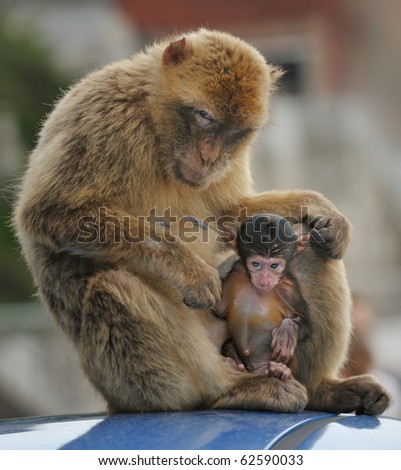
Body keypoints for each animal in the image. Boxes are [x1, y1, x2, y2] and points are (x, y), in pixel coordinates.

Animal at [216, 215, 310, 380]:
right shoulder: (237, 271)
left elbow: (305, 322)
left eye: (274, 266)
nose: (264, 281)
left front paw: (287, 331)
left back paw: (281, 370)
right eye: (255, 264)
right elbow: (219, 310)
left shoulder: (289, 289)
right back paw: (233, 362)